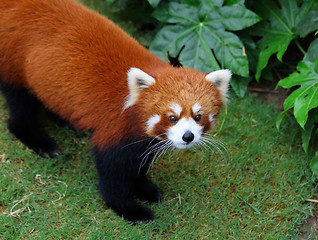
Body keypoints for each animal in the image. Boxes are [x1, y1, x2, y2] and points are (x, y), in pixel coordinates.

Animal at [0, 0, 230, 223]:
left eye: (198, 117)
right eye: (172, 117)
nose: (187, 136)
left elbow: (138, 164)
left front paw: (144, 188)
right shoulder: (114, 126)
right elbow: (113, 174)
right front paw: (129, 209)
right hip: (14, 63)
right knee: (20, 107)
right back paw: (39, 141)